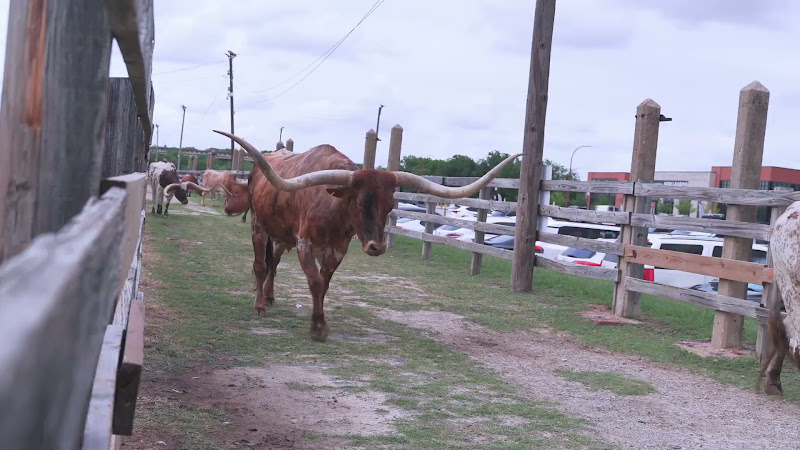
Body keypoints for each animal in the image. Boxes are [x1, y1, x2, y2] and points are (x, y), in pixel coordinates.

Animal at [213, 130, 521, 341]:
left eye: (390, 205)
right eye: (360, 203)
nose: (377, 246)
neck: (333, 210)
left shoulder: (337, 249)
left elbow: (324, 285)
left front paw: (319, 321)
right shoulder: (304, 243)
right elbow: (314, 282)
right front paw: (318, 327)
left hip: (279, 235)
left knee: (273, 263)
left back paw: (269, 297)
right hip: (258, 225)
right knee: (260, 265)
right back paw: (259, 306)